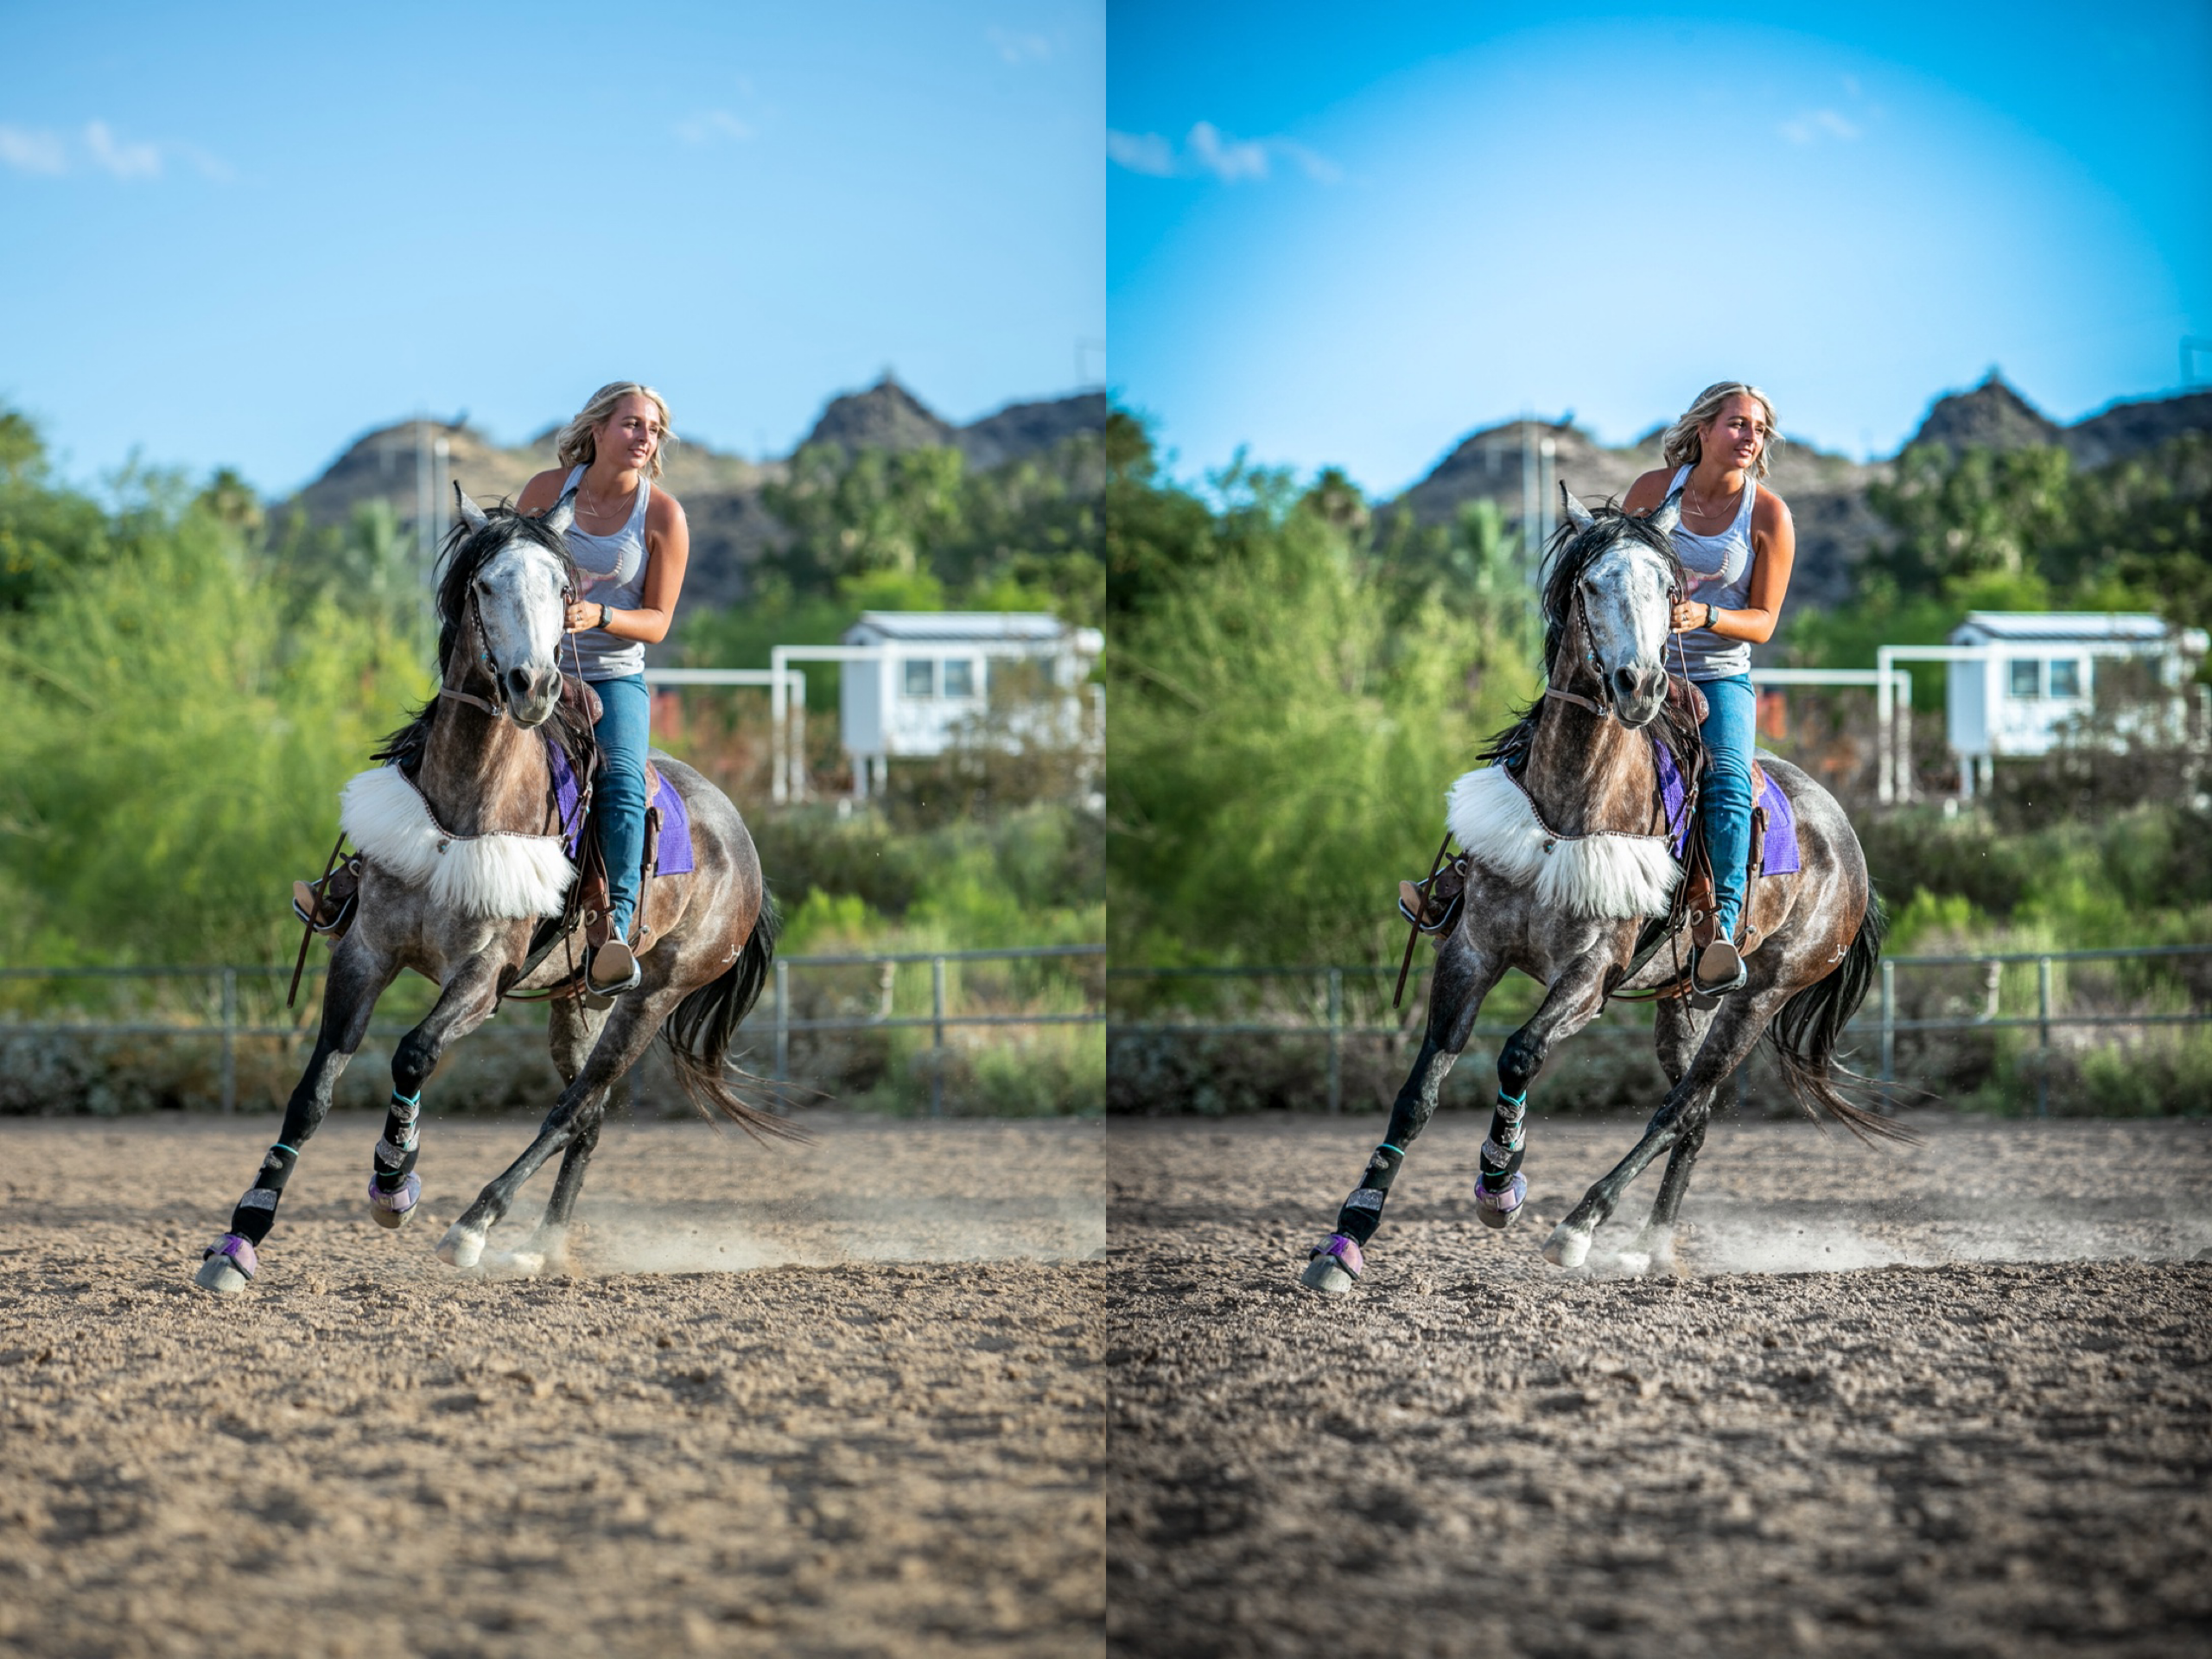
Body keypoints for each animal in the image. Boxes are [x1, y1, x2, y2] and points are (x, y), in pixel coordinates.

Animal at [193, 489, 792, 1295]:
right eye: (483, 585)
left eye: (565, 591)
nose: (533, 685)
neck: (463, 812)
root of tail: (741, 841)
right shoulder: (364, 952)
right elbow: (313, 1092)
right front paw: (241, 1237)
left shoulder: (484, 974)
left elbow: (414, 1053)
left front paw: (395, 1184)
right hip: (576, 999)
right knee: (591, 1115)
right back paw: (542, 1246)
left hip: (654, 994)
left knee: (572, 1107)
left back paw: (474, 1226)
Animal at [1300, 488, 1904, 1294]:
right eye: (1590, 586)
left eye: (1671, 591)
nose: (1640, 686)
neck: (1569, 810)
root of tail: (1848, 843)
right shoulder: (1470, 951)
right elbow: (1418, 1092)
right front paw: (1348, 1237)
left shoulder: (1590, 974)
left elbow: (1520, 1053)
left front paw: (1501, 1184)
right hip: (1681, 999)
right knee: (1696, 1116)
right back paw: (1651, 1247)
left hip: (1761, 995)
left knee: (1679, 1107)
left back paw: (1580, 1226)